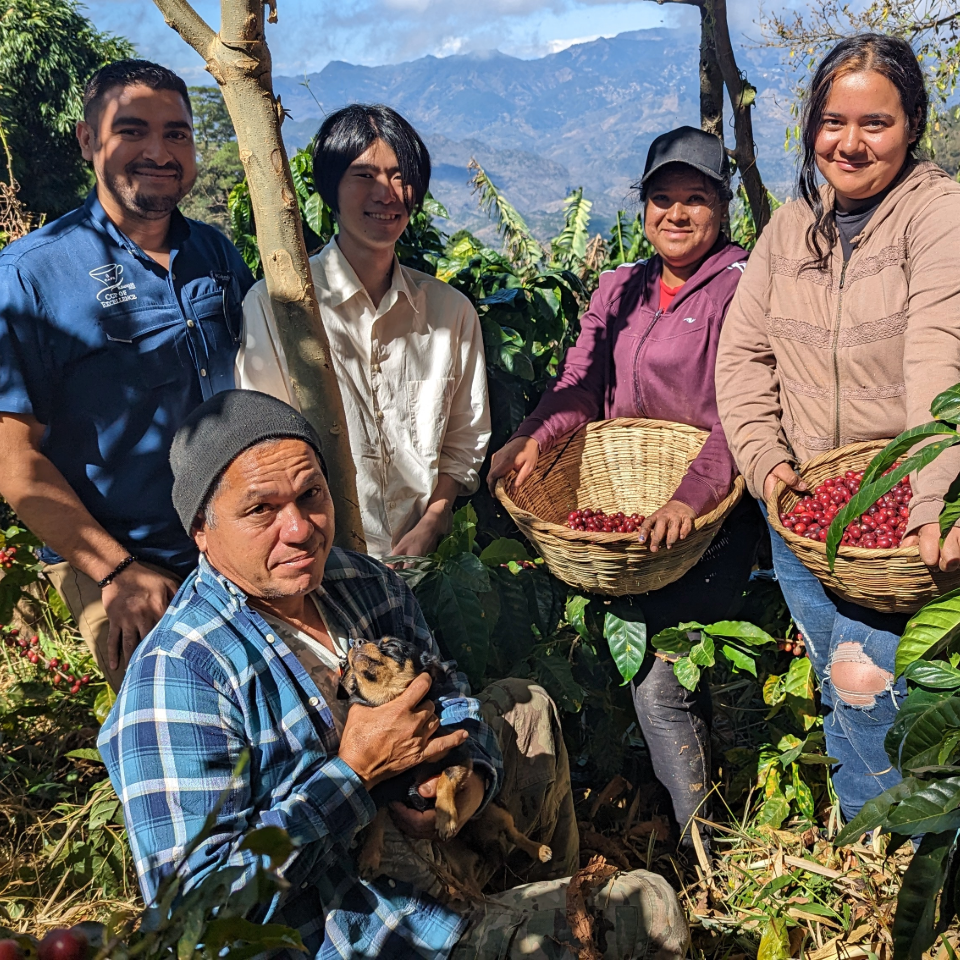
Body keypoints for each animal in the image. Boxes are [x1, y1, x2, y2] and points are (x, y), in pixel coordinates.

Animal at [340, 632, 552, 880]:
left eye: (392, 645)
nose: (357, 641)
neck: (387, 701)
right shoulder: (382, 787)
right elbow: (375, 821)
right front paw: (370, 856)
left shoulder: (459, 755)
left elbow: (446, 777)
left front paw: (446, 816)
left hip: (496, 810)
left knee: (514, 834)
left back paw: (539, 849)